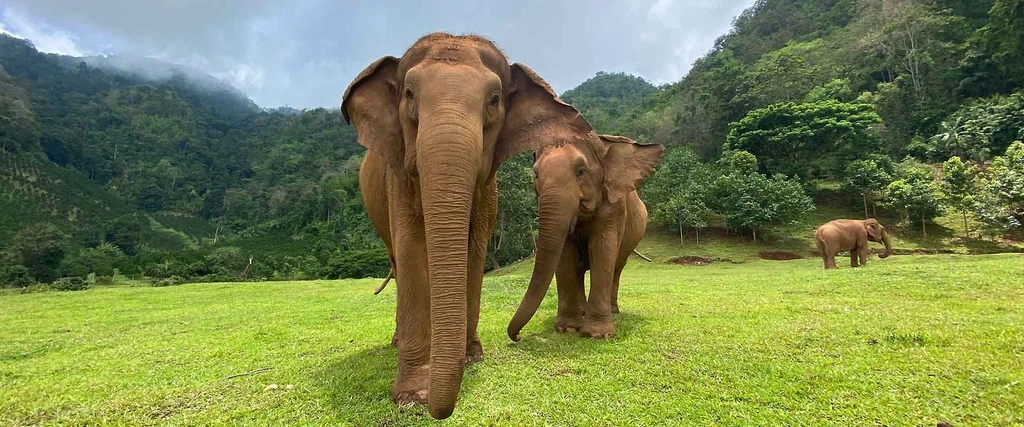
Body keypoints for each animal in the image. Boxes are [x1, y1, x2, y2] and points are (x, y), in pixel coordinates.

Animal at [342, 33, 593, 419]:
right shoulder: (397, 178)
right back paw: (397, 341)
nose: (438, 409)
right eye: (409, 94)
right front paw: (413, 395)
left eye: (494, 100)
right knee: (398, 264)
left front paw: (472, 357)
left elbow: (474, 254)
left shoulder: (488, 190)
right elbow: (411, 250)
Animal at [505, 135, 663, 342]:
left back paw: (612, 310)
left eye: (581, 171)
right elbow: (565, 254)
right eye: (536, 175)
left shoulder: (613, 205)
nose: (518, 336)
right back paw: (582, 313)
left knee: (617, 267)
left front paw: (598, 334)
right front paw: (569, 329)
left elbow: (602, 249)